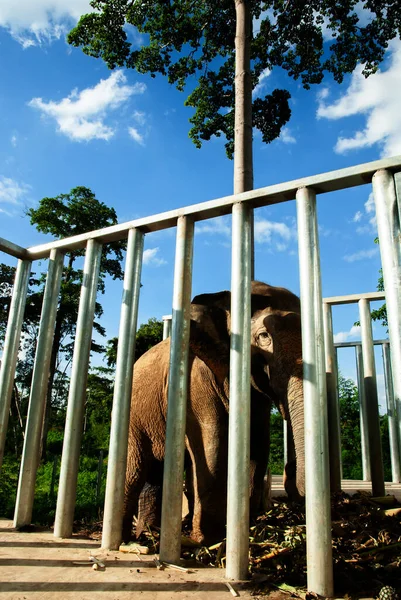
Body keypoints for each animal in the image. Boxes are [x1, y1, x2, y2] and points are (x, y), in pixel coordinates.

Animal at [122, 282, 304, 544]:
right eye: (263, 336)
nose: (289, 471)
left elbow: (258, 446)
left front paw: (243, 531)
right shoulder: (195, 380)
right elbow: (212, 444)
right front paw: (208, 541)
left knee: (156, 474)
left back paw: (148, 533)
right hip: (134, 419)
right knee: (135, 472)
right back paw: (127, 540)